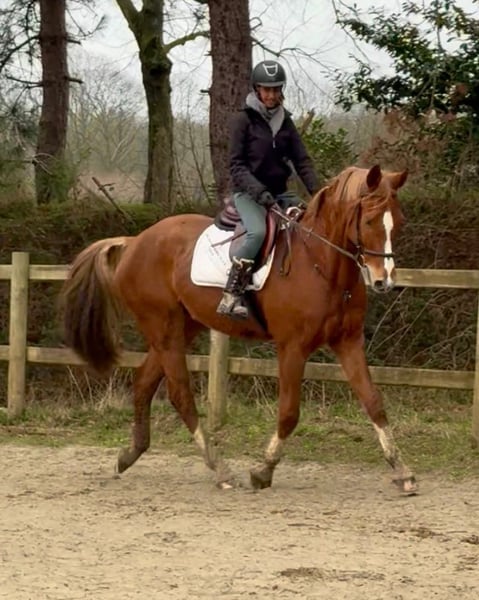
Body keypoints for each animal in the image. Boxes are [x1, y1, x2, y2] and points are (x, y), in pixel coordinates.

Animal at [61, 164, 417, 494]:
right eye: (369, 221)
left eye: (398, 222)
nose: (384, 281)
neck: (322, 264)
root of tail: (134, 241)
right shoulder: (292, 347)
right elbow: (289, 412)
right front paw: (263, 470)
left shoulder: (348, 342)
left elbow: (373, 401)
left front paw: (403, 472)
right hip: (164, 328)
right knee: (180, 394)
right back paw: (219, 469)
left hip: (181, 328)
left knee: (144, 382)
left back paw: (129, 455)